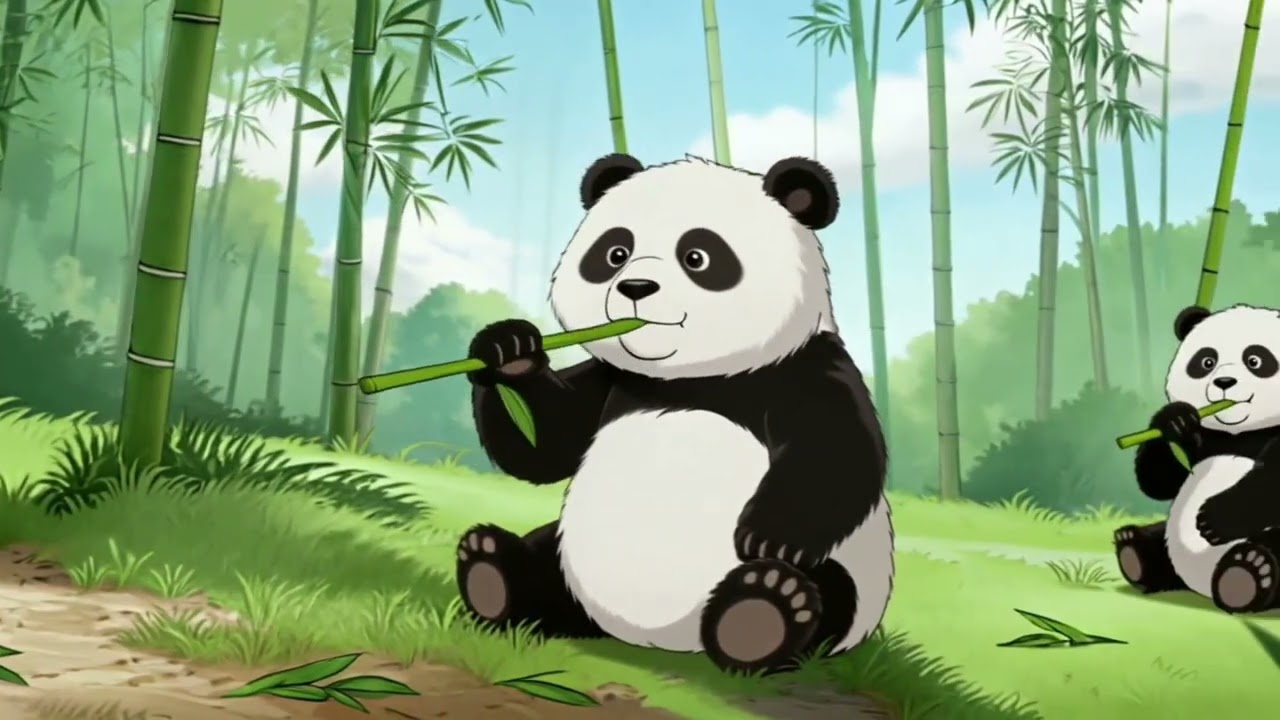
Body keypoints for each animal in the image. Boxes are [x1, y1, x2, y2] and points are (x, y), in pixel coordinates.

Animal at [452, 153, 893, 674]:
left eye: (697, 257)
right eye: (615, 252)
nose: (635, 287)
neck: (691, 377)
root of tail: (658, 640)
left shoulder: (803, 370)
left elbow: (836, 454)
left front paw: (770, 537)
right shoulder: (616, 379)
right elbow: (546, 445)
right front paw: (509, 350)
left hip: (852, 583)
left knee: (825, 595)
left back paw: (761, 611)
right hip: (568, 557)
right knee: (542, 571)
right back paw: (491, 571)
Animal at [1114, 303, 1280, 613]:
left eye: (1255, 360)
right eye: (1206, 361)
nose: (1224, 382)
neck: (1241, 433)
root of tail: (1200, 585)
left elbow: (1268, 485)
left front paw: (1212, 519)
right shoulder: (1204, 437)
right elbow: (1159, 480)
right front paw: (1174, 420)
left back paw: (1248, 570)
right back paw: (1133, 551)